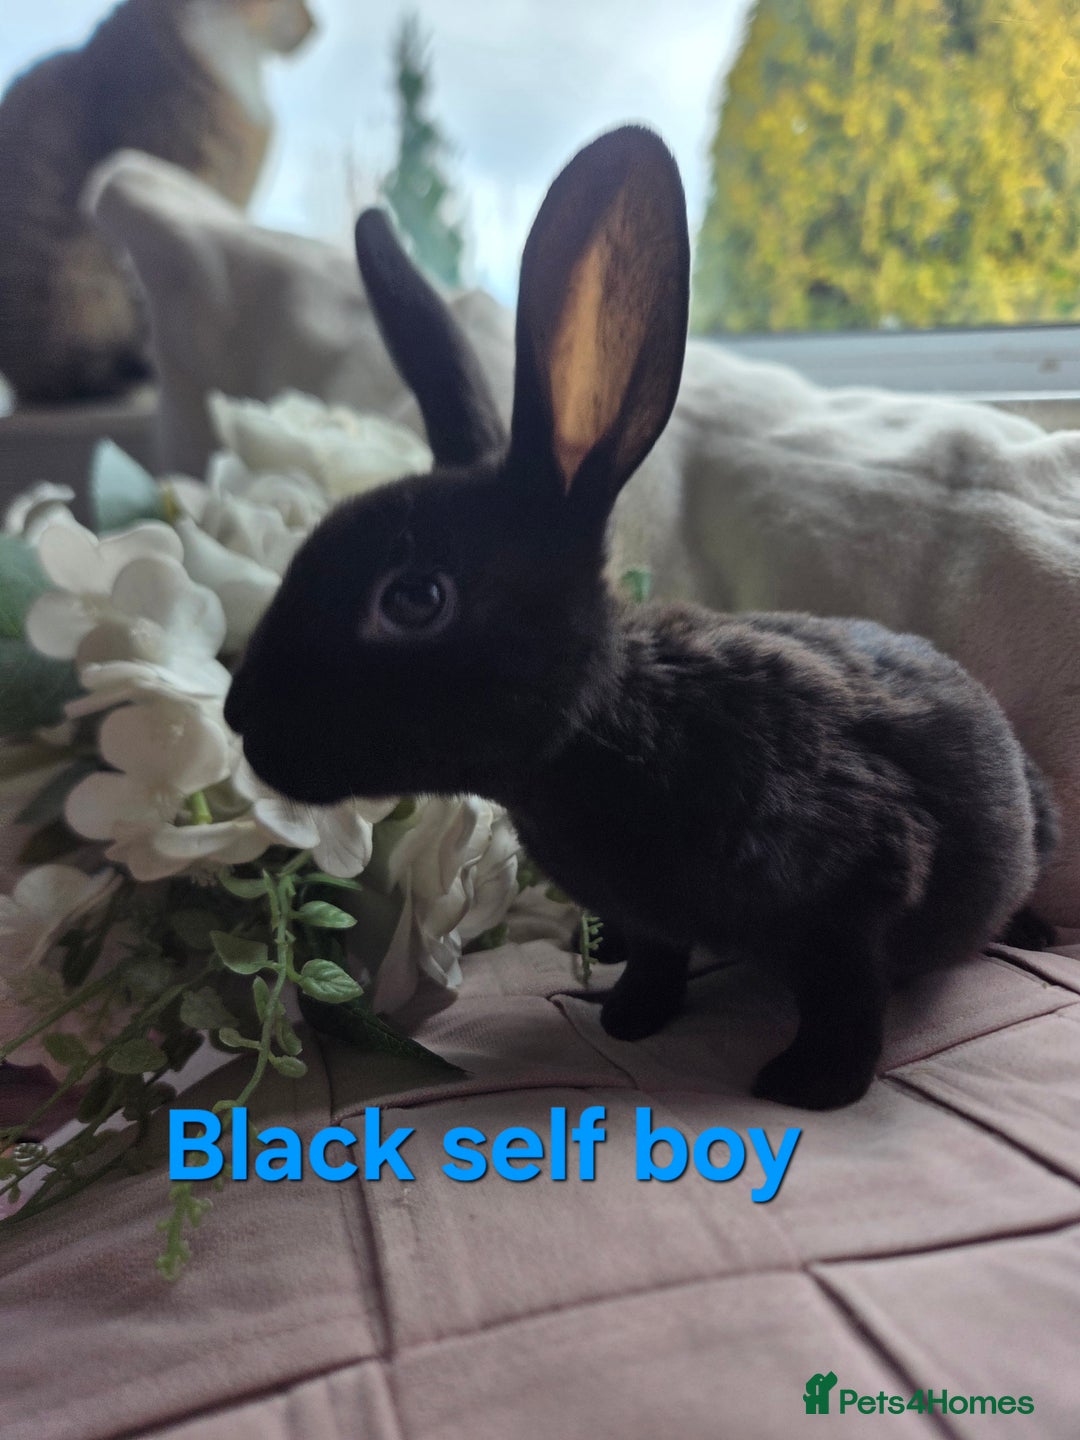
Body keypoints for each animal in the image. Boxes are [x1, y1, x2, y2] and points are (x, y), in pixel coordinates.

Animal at [225, 125, 1058, 1110]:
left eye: (415, 599)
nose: (237, 713)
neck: (606, 728)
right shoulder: (660, 915)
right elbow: (660, 961)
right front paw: (629, 1018)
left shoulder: (864, 887)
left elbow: (847, 993)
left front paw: (809, 1086)